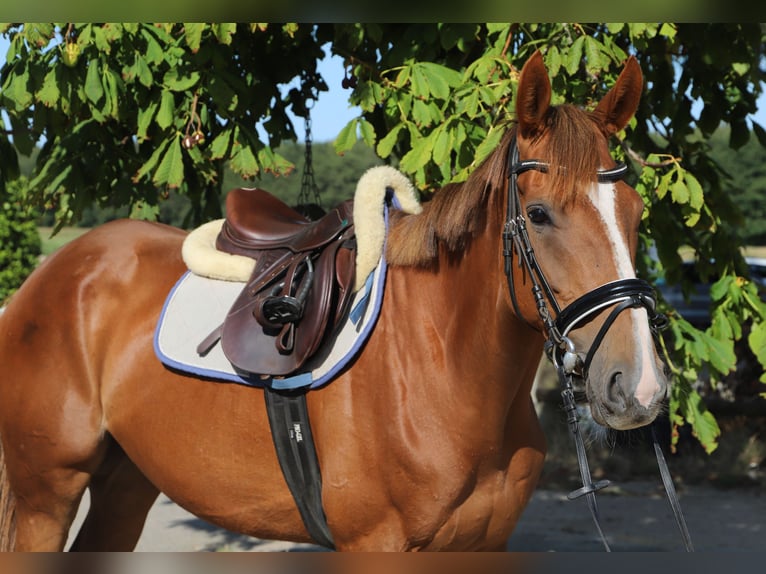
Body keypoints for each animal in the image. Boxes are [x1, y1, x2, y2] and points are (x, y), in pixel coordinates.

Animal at [0, 50, 669, 551]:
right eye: (538, 214)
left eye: (637, 213)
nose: (638, 386)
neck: (444, 366)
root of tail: (52, 276)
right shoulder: (376, 546)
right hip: (46, 494)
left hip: (127, 482)